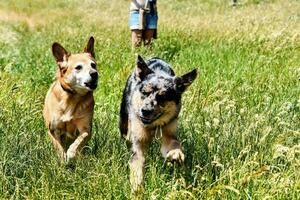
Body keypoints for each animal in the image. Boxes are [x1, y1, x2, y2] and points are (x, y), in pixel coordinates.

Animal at [118, 55, 198, 192]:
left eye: (163, 97)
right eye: (144, 92)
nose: (145, 111)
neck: (153, 126)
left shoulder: (169, 131)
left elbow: (174, 144)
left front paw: (176, 154)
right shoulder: (138, 142)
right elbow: (137, 166)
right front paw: (137, 189)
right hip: (123, 118)